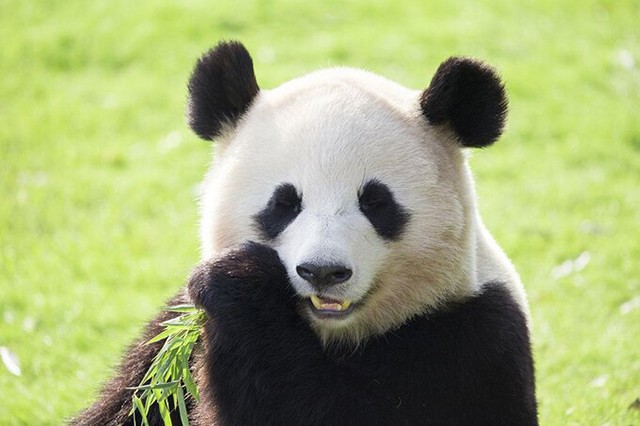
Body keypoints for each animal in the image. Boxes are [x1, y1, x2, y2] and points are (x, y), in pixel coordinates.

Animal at [72, 40, 536, 426]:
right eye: (284, 203)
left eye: (376, 203)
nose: (323, 272)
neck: (336, 335)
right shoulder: (164, 346)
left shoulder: (473, 341)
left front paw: (241, 282)